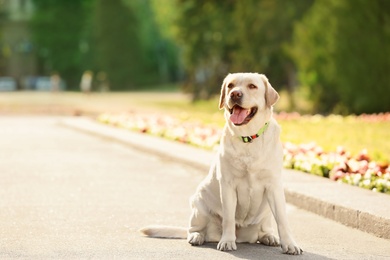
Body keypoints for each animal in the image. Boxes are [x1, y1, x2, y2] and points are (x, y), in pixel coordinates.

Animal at [139, 72, 302, 255]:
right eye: (230, 85)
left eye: (252, 86)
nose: (235, 94)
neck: (248, 139)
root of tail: (243, 236)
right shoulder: (228, 185)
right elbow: (229, 218)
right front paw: (227, 241)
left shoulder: (273, 185)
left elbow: (282, 219)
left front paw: (289, 244)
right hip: (199, 204)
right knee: (193, 229)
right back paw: (197, 236)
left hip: (265, 211)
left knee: (264, 229)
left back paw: (269, 237)